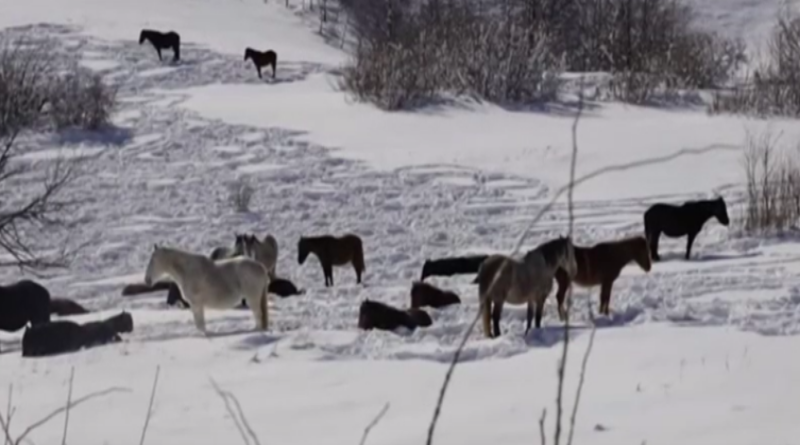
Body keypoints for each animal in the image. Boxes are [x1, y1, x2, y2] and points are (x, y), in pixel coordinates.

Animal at [142, 243, 270, 332]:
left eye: (153, 260)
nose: (147, 280)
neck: (187, 271)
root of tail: (260, 267)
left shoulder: (196, 304)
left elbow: (200, 324)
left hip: (252, 299)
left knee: (258, 315)